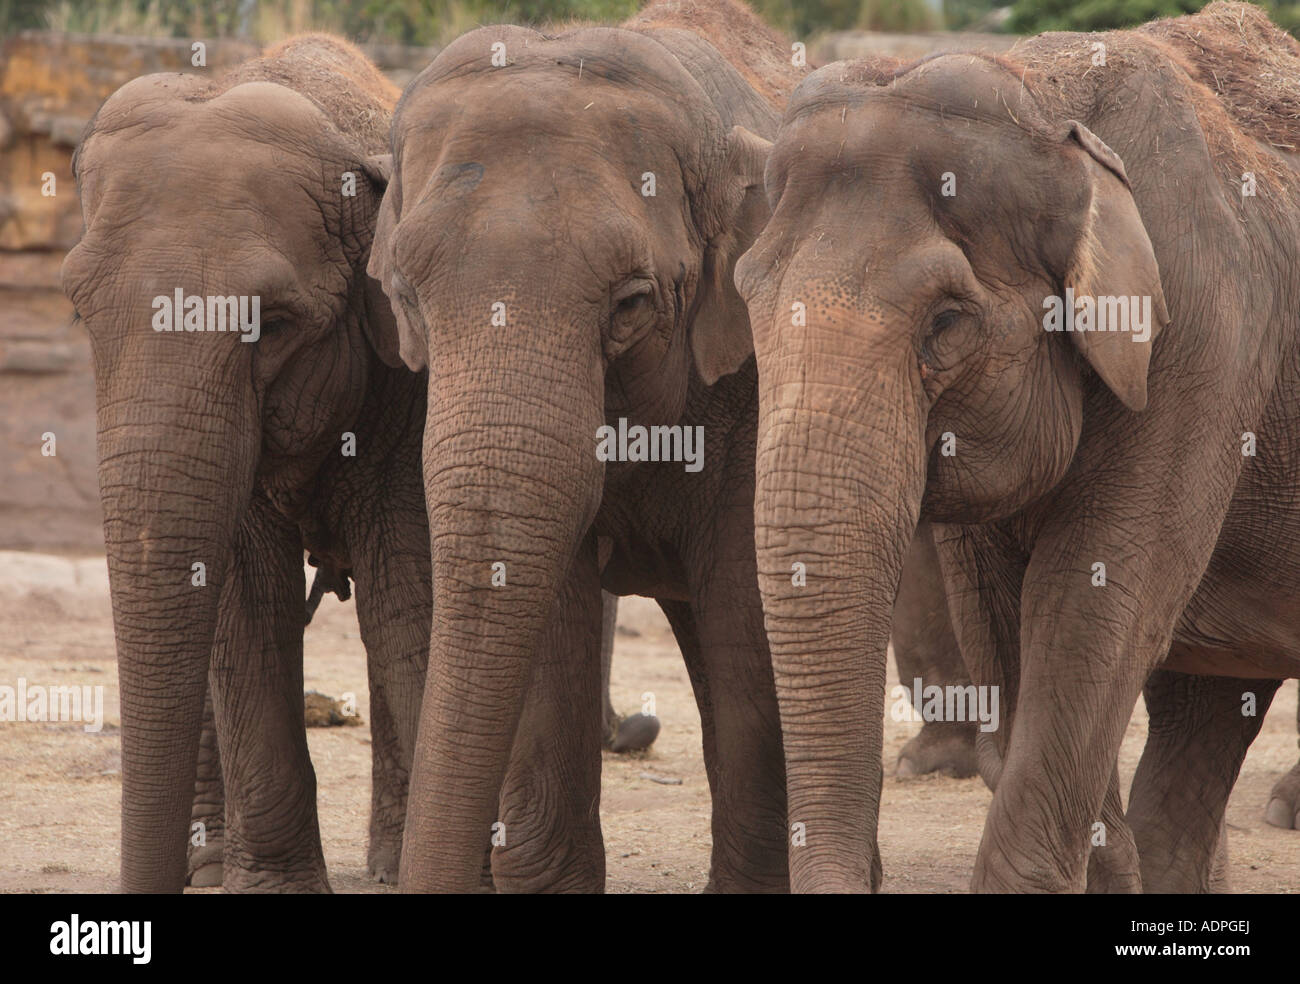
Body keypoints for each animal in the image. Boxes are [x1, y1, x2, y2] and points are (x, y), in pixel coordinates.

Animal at [738, 0, 1300, 889]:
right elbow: (1005, 631)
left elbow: (1090, 613)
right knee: (1201, 711)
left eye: (946, 323)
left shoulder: (1203, 349)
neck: (1044, 96)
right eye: (745, 296)